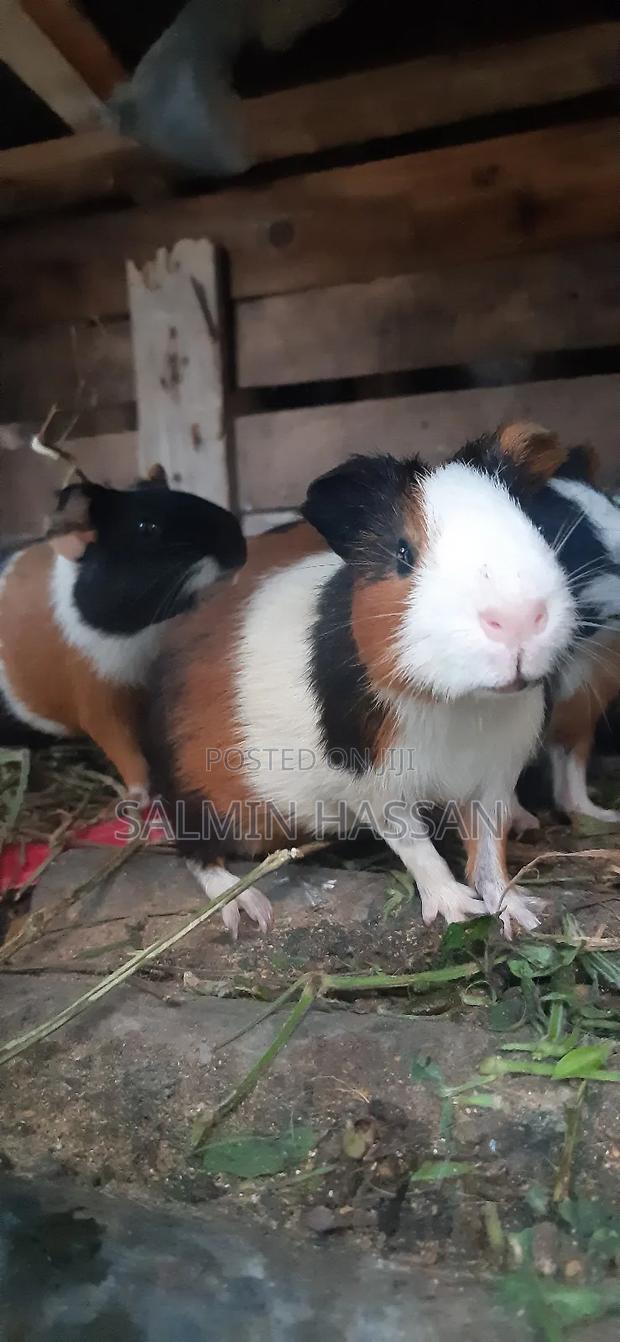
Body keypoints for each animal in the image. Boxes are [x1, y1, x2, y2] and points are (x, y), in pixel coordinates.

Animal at [0, 470, 246, 800]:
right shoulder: (100, 702)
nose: (240, 547)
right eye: (146, 527)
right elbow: (126, 753)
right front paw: (141, 797)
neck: (146, 631)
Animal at [142, 423, 576, 940]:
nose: (516, 619)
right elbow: (419, 850)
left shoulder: (493, 779)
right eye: (403, 553)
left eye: (536, 530)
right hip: (202, 801)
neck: (462, 708)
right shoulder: (376, 790)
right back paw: (249, 910)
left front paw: (524, 915)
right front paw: (458, 911)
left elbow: (489, 854)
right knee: (198, 857)